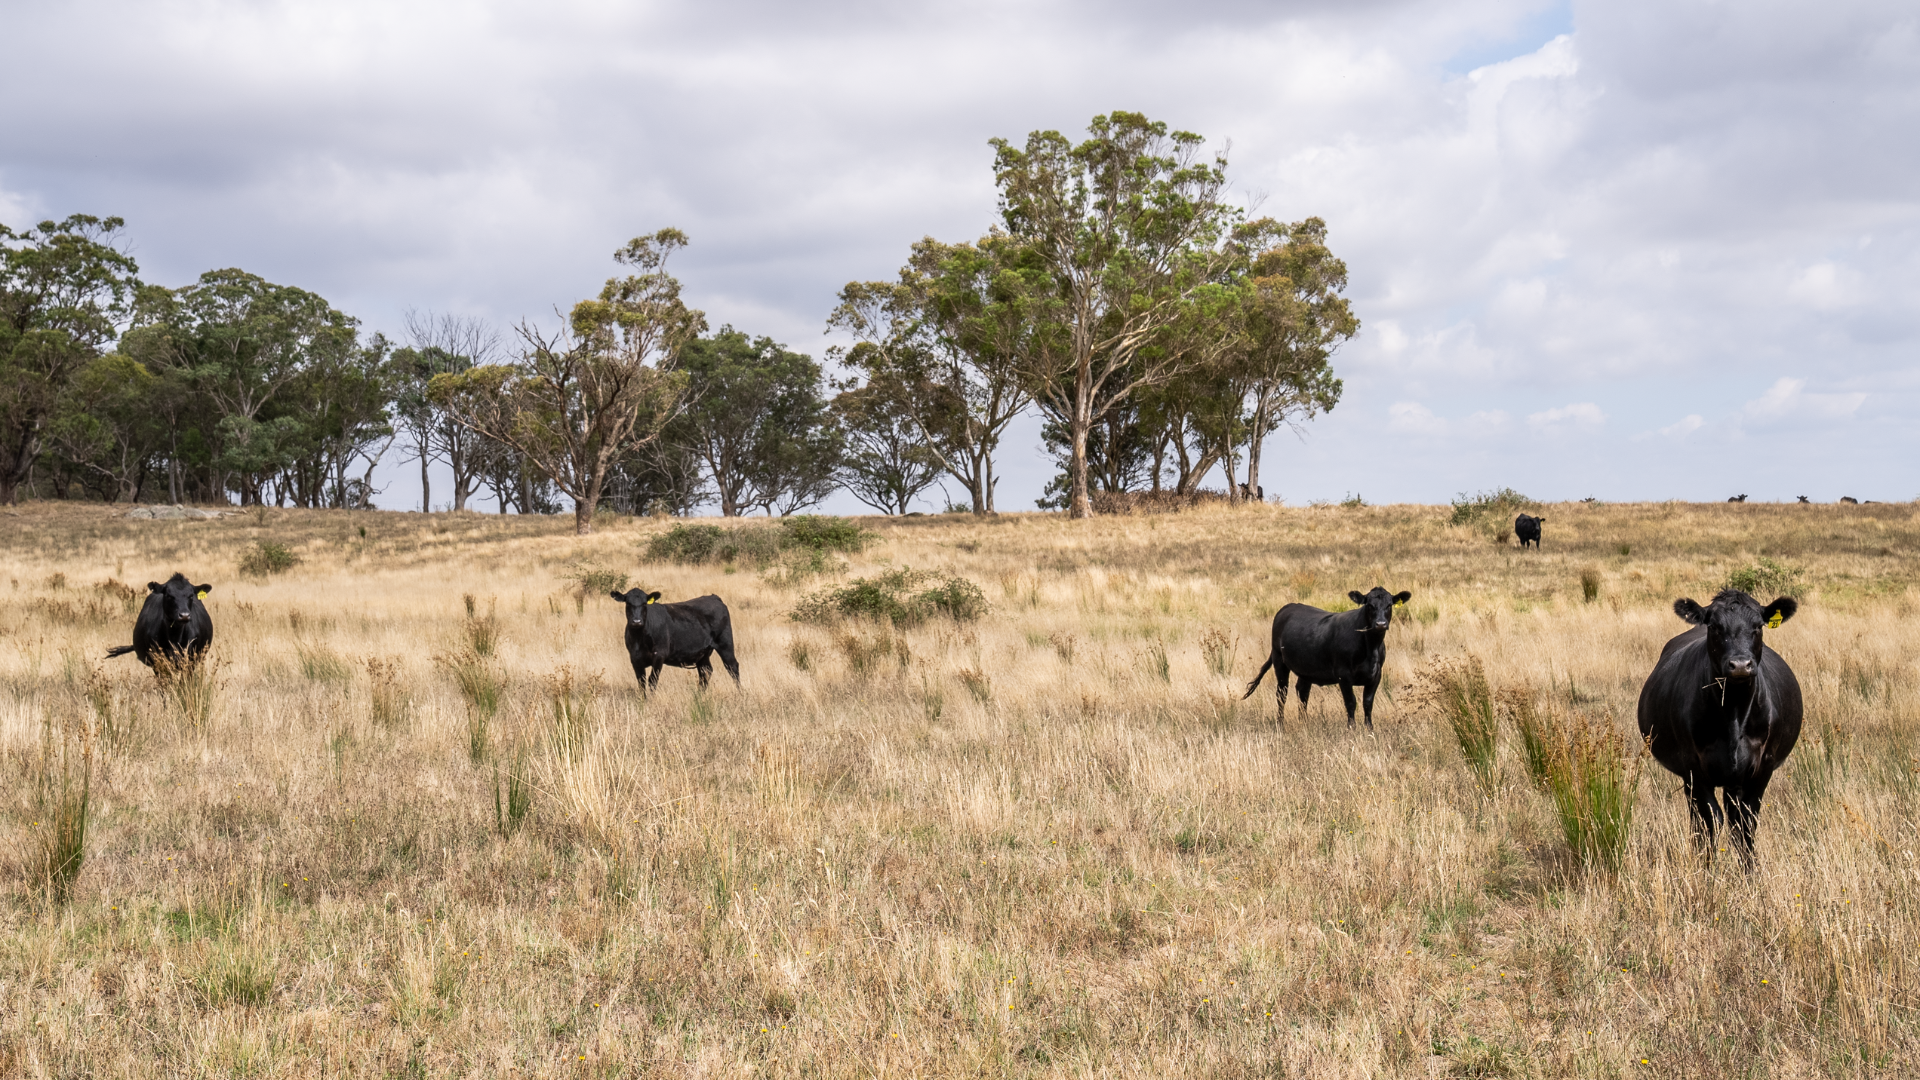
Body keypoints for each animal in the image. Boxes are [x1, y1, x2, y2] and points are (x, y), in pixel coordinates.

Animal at [610, 588, 741, 693]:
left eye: (644, 604)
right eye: (628, 603)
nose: (636, 621)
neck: (639, 638)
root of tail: (714, 597)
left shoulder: (659, 655)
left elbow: (652, 680)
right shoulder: (634, 658)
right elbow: (641, 683)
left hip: (725, 644)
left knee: (732, 667)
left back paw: (740, 694)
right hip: (703, 654)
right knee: (705, 671)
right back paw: (700, 696)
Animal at [1243, 586, 1413, 730]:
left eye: (1389, 605)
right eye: (1369, 605)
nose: (1380, 624)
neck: (1371, 647)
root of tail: (1289, 607)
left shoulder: (1376, 674)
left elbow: (1368, 702)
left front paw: (1369, 729)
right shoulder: (1343, 675)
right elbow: (1351, 702)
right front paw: (1352, 728)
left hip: (1306, 668)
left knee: (1302, 692)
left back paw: (1304, 723)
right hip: (1279, 660)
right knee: (1282, 693)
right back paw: (1280, 724)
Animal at [1636, 589, 1801, 866]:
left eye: (1758, 626)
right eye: (1714, 627)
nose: (1740, 665)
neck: (1734, 713)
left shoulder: (1764, 765)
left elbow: (1745, 822)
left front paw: (1750, 872)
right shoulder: (1693, 766)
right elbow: (1709, 820)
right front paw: (1707, 871)